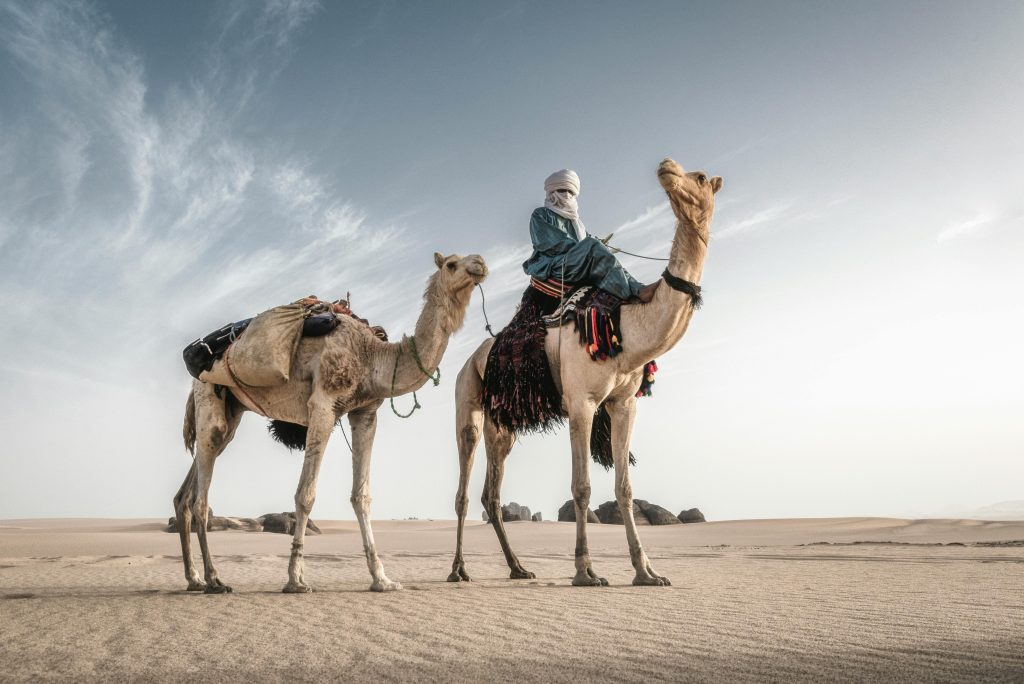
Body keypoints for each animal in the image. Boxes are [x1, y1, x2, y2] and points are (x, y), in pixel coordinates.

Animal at [175, 252, 488, 593]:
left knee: (187, 494)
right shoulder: (323, 405)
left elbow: (362, 496)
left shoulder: (365, 413)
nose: (480, 263)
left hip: (233, 410)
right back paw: (214, 579)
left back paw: (194, 578)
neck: (373, 356)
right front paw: (296, 579)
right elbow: (306, 494)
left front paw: (382, 579)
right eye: (452, 264)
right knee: (201, 495)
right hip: (209, 398)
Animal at [448, 158, 721, 586]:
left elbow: (624, 488)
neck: (629, 324)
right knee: (463, 486)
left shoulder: (623, 404)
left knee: (490, 494)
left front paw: (646, 572)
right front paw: (585, 571)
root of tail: (471, 359)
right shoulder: (581, 402)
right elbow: (582, 487)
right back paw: (458, 569)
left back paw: (518, 567)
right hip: (467, 400)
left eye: (700, 178)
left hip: (502, 421)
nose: (666, 167)